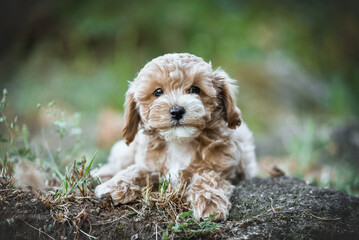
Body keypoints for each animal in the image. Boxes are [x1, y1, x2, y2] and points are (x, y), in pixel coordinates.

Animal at [94, 53, 258, 221]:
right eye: (158, 92)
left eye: (195, 89)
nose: (177, 111)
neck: (179, 141)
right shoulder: (150, 164)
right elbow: (135, 170)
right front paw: (112, 186)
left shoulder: (222, 168)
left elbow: (208, 178)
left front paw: (209, 202)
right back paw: (100, 173)